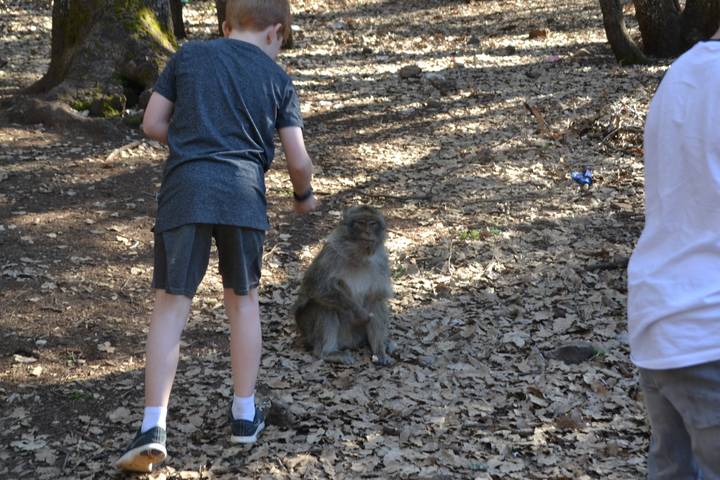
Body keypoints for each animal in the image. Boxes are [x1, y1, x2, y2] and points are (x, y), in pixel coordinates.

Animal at [293, 205, 394, 365]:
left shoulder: (381, 262)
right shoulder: (331, 254)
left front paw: (379, 351)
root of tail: (349, 343)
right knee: (324, 305)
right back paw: (327, 353)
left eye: (373, 224)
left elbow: (375, 299)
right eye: (360, 223)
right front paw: (359, 312)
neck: (359, 257)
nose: (368, 232)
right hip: (312, 332)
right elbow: (317, 288)